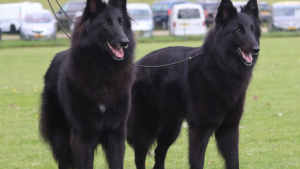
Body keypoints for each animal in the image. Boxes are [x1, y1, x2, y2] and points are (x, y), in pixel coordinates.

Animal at [39, 0, 135, 168]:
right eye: (106, 23)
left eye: (121, 22)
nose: (125, 42)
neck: (104, 72)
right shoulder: (82, 135)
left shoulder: (116, 133)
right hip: (61, 137)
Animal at [127, 0, 262, 168]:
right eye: (238, 30)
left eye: (252, 30)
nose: (256, 49)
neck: (221, 67)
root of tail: (136, 65)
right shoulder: (200, 128)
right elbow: (198, 161)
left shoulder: (229, 128)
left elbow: (233, 161)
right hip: (147, 125)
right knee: (140, 154)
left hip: (171, 127)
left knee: (159, 153)